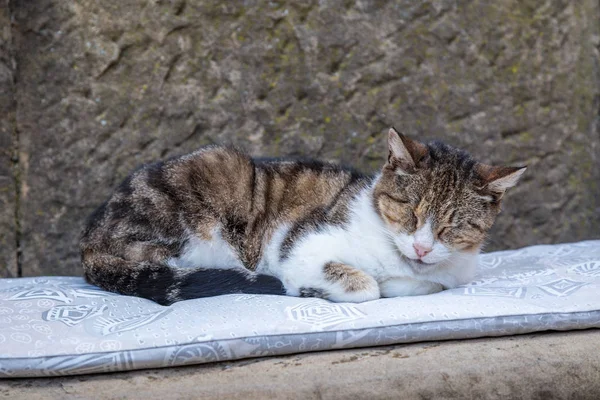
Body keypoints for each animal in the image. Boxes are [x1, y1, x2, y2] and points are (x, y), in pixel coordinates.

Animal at [79, 128, 524, 304]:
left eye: (453, 226)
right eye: (410, 212)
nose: (421, 248)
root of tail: (89, 239)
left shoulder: (447, 275)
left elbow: (423, 284)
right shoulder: (302, 244)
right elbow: (365, 286)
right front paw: (314, 289)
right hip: (216, 174)